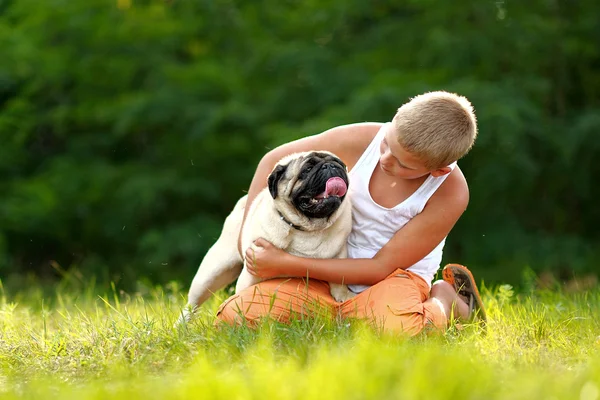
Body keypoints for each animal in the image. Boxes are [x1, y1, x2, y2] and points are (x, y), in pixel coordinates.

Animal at [180, 152, 354, 324]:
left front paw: (342, 297)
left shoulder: (338, 256)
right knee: (192, 304)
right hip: (212, 273)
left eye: (339, 164)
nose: (330, 166)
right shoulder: (251, 272)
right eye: (307, 169)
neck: (307, 228)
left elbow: (339, 281)